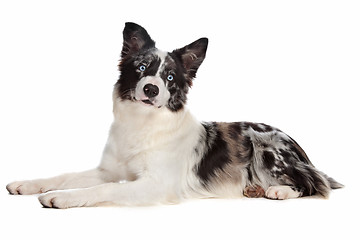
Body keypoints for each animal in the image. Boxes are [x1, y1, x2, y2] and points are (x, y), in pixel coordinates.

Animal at [6, 21, 344, 207]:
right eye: (142, 67)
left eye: (169, 77)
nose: (151, 89)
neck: (143, 125)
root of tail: (300, 148)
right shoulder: (110, 169)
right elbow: (66, 176)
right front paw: (27, 185)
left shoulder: (156, 184)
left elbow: (102, 188)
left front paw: (62, 198)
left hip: (266, 144)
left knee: (314, 183)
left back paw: (278, 190)